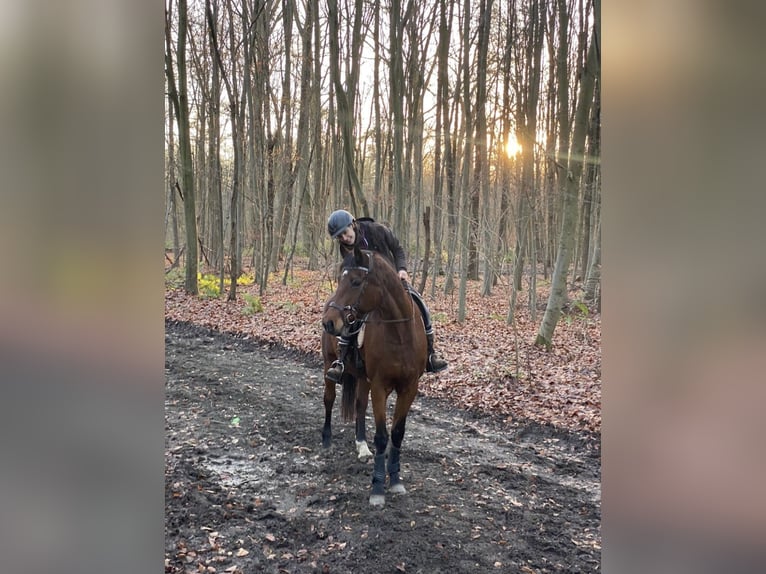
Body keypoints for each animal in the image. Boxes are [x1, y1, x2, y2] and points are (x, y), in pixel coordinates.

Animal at [321, 245, 427, 506]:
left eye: (356, 281)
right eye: (340, 279)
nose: (328, 322)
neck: (400, 334)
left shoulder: (409, 388)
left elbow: (397, 433)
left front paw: (396, 480)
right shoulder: (380, 387)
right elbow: (381, 436)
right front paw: (378, 488)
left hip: (362, 377)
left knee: (359, 406)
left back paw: (361, 446)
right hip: (329, 364)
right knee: (329, 399)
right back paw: (326, 440)